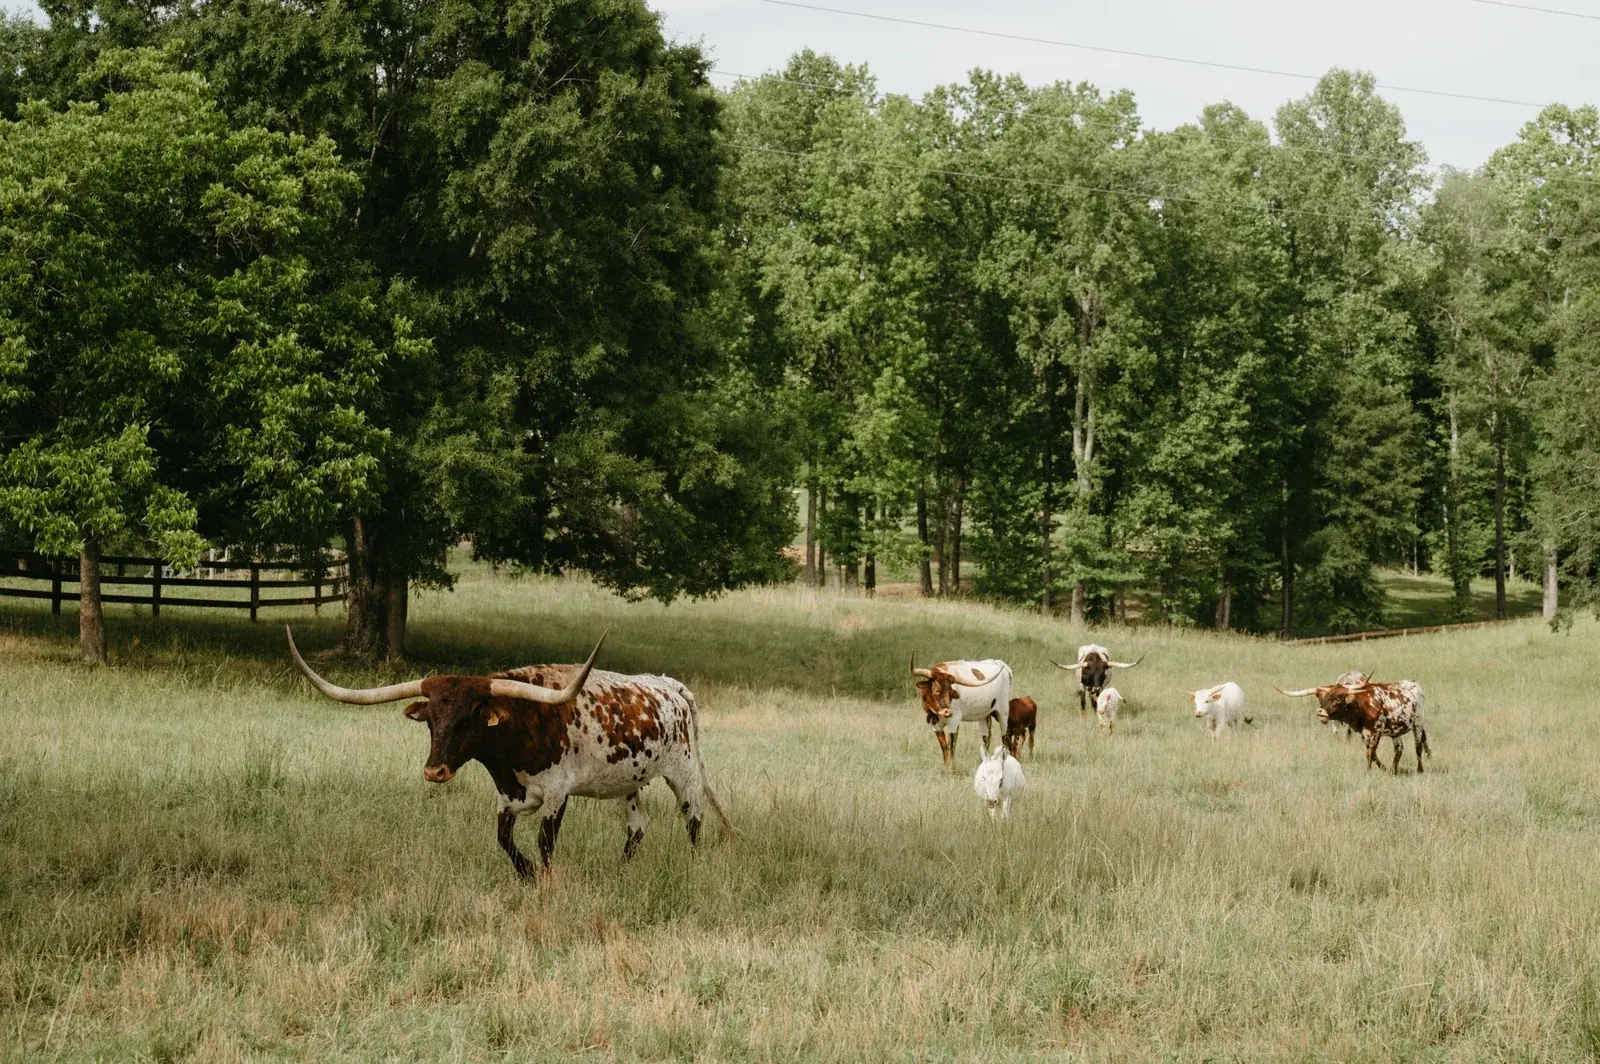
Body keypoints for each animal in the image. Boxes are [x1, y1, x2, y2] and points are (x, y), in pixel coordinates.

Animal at [286, 627, 732, 876]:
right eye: (431, 720)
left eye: (468, 720)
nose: (434, 772)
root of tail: (669, 685)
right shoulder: (505, 796)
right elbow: (503, 840)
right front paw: (526, 874)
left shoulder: (556, 793)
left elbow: (545, 843)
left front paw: (545, 880)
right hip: (627, 784)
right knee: (637, 828)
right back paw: (620, 871)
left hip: (684, 774)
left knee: (694, 821)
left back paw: (693, 865)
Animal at [1275, 677, 1430, 774]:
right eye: (1323, 699)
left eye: (1338, 698)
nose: (1320, 712)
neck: (1363, 706)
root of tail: (1414, 684)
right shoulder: (1364, 734)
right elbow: (1372, 754)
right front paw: (1384, 769)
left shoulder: (1376, 732)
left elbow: (1370, 754)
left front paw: (1368, 772)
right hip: (1395, 730)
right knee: (1399, 749)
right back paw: (1394, 770)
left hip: (1418, 723)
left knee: (1418, 747)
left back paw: (1420, 770)